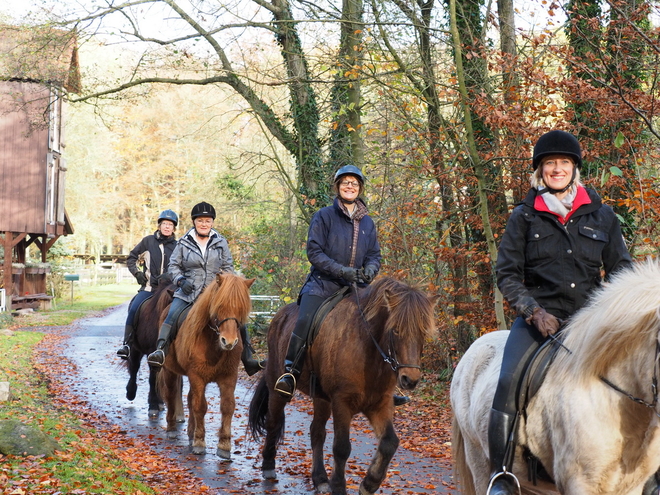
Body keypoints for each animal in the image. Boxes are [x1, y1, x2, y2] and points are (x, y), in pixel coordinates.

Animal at [157, 274, 255, 460]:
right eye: (220, 305)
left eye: (242, 309)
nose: (229, 341)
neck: (213, 343)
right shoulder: (197, 377)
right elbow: (200, 406)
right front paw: (199, 442)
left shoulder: (228, 377)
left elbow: (227, 406)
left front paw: (224, 445)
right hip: (169, 371)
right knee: (171, 394)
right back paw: (172, 428)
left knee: (189, 399)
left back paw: (190, 432)